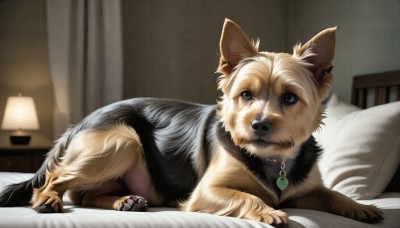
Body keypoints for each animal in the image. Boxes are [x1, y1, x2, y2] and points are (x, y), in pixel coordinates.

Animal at [0, 19, 384, 226]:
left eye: (289, 98)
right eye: (246, 95)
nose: (258, 125)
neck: (273, 159)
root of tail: (79, 124)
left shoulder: (308, 189)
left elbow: (333, 193)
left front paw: (361, 207)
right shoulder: (207, 191)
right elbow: (247, 195)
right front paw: (268, 211)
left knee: (85, 193)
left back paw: (126, 201)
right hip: (121, 140)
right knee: (55, 179)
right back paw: (47, 199)